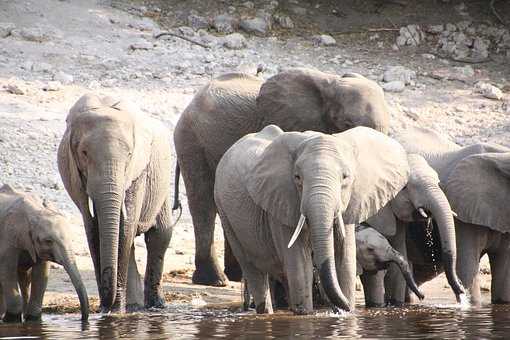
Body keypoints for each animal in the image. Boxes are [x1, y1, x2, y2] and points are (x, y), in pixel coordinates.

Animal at [0, 185, 88, 322]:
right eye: (48, 241)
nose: (82, 320)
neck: (35, 211)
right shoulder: (8, 238)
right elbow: (7, 271)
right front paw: (11, 319)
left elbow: (41, 274)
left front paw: (33, 319)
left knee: (24, 278)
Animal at [57, 93, 173, 314]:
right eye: (84, 153)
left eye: (129, 154)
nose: (104, 306)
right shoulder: (76, 177)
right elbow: (93, 228)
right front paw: (108, 311)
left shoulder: (137, 173)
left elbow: (125, 229)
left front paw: (115, 312)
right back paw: (135, 306)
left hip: (161, 182)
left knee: (160, 235)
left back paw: (155, 307)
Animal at [172, 67, 390, 286]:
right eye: (346, 123)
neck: (331, 85)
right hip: (191, 141)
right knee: (203, 202)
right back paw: (215, 280)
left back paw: (236, 276)